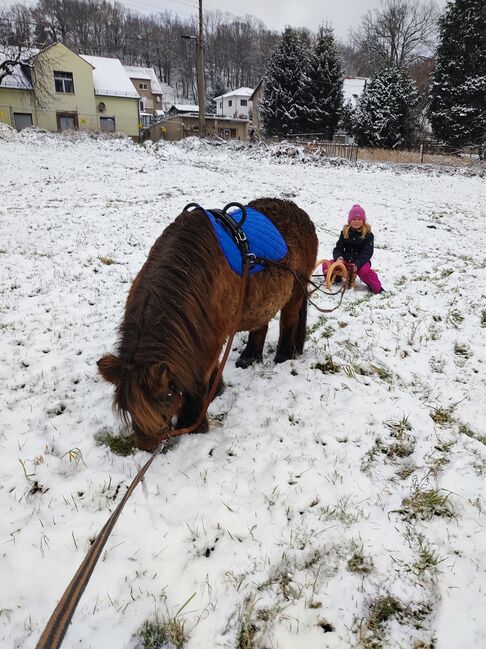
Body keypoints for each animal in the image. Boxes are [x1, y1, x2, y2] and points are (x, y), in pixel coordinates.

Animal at [98, 197, 318, 450]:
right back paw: (249, 357)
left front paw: (195, 422)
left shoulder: (211, 338)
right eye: (126, 407)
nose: (146, 445)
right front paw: (217, 390)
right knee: (260, 325)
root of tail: (300, 212)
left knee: (289, 321)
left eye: (166, 399)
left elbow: (200, 377)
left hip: (295, 292)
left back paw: (284, 354)